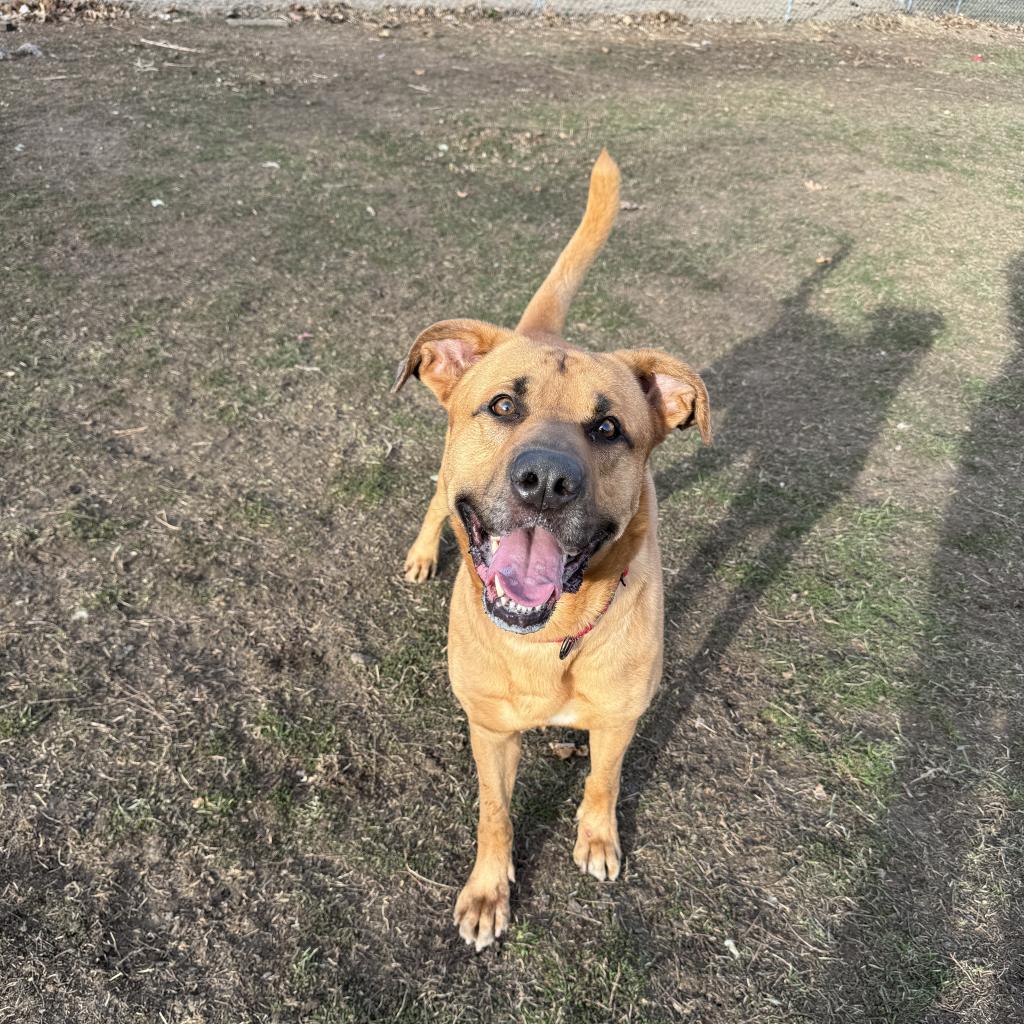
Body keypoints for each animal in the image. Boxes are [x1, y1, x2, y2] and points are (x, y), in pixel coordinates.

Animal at [391, 151, 712, 950]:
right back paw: (422, 552)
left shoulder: (621, 717)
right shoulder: (489, 730)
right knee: (434, 501)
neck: (550, 638)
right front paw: (488, 891)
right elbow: (494, 814)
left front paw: (597, 837)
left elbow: (603, 778)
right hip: (443, 479)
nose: (545, 481)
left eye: (608, 429)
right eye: (504, 405)